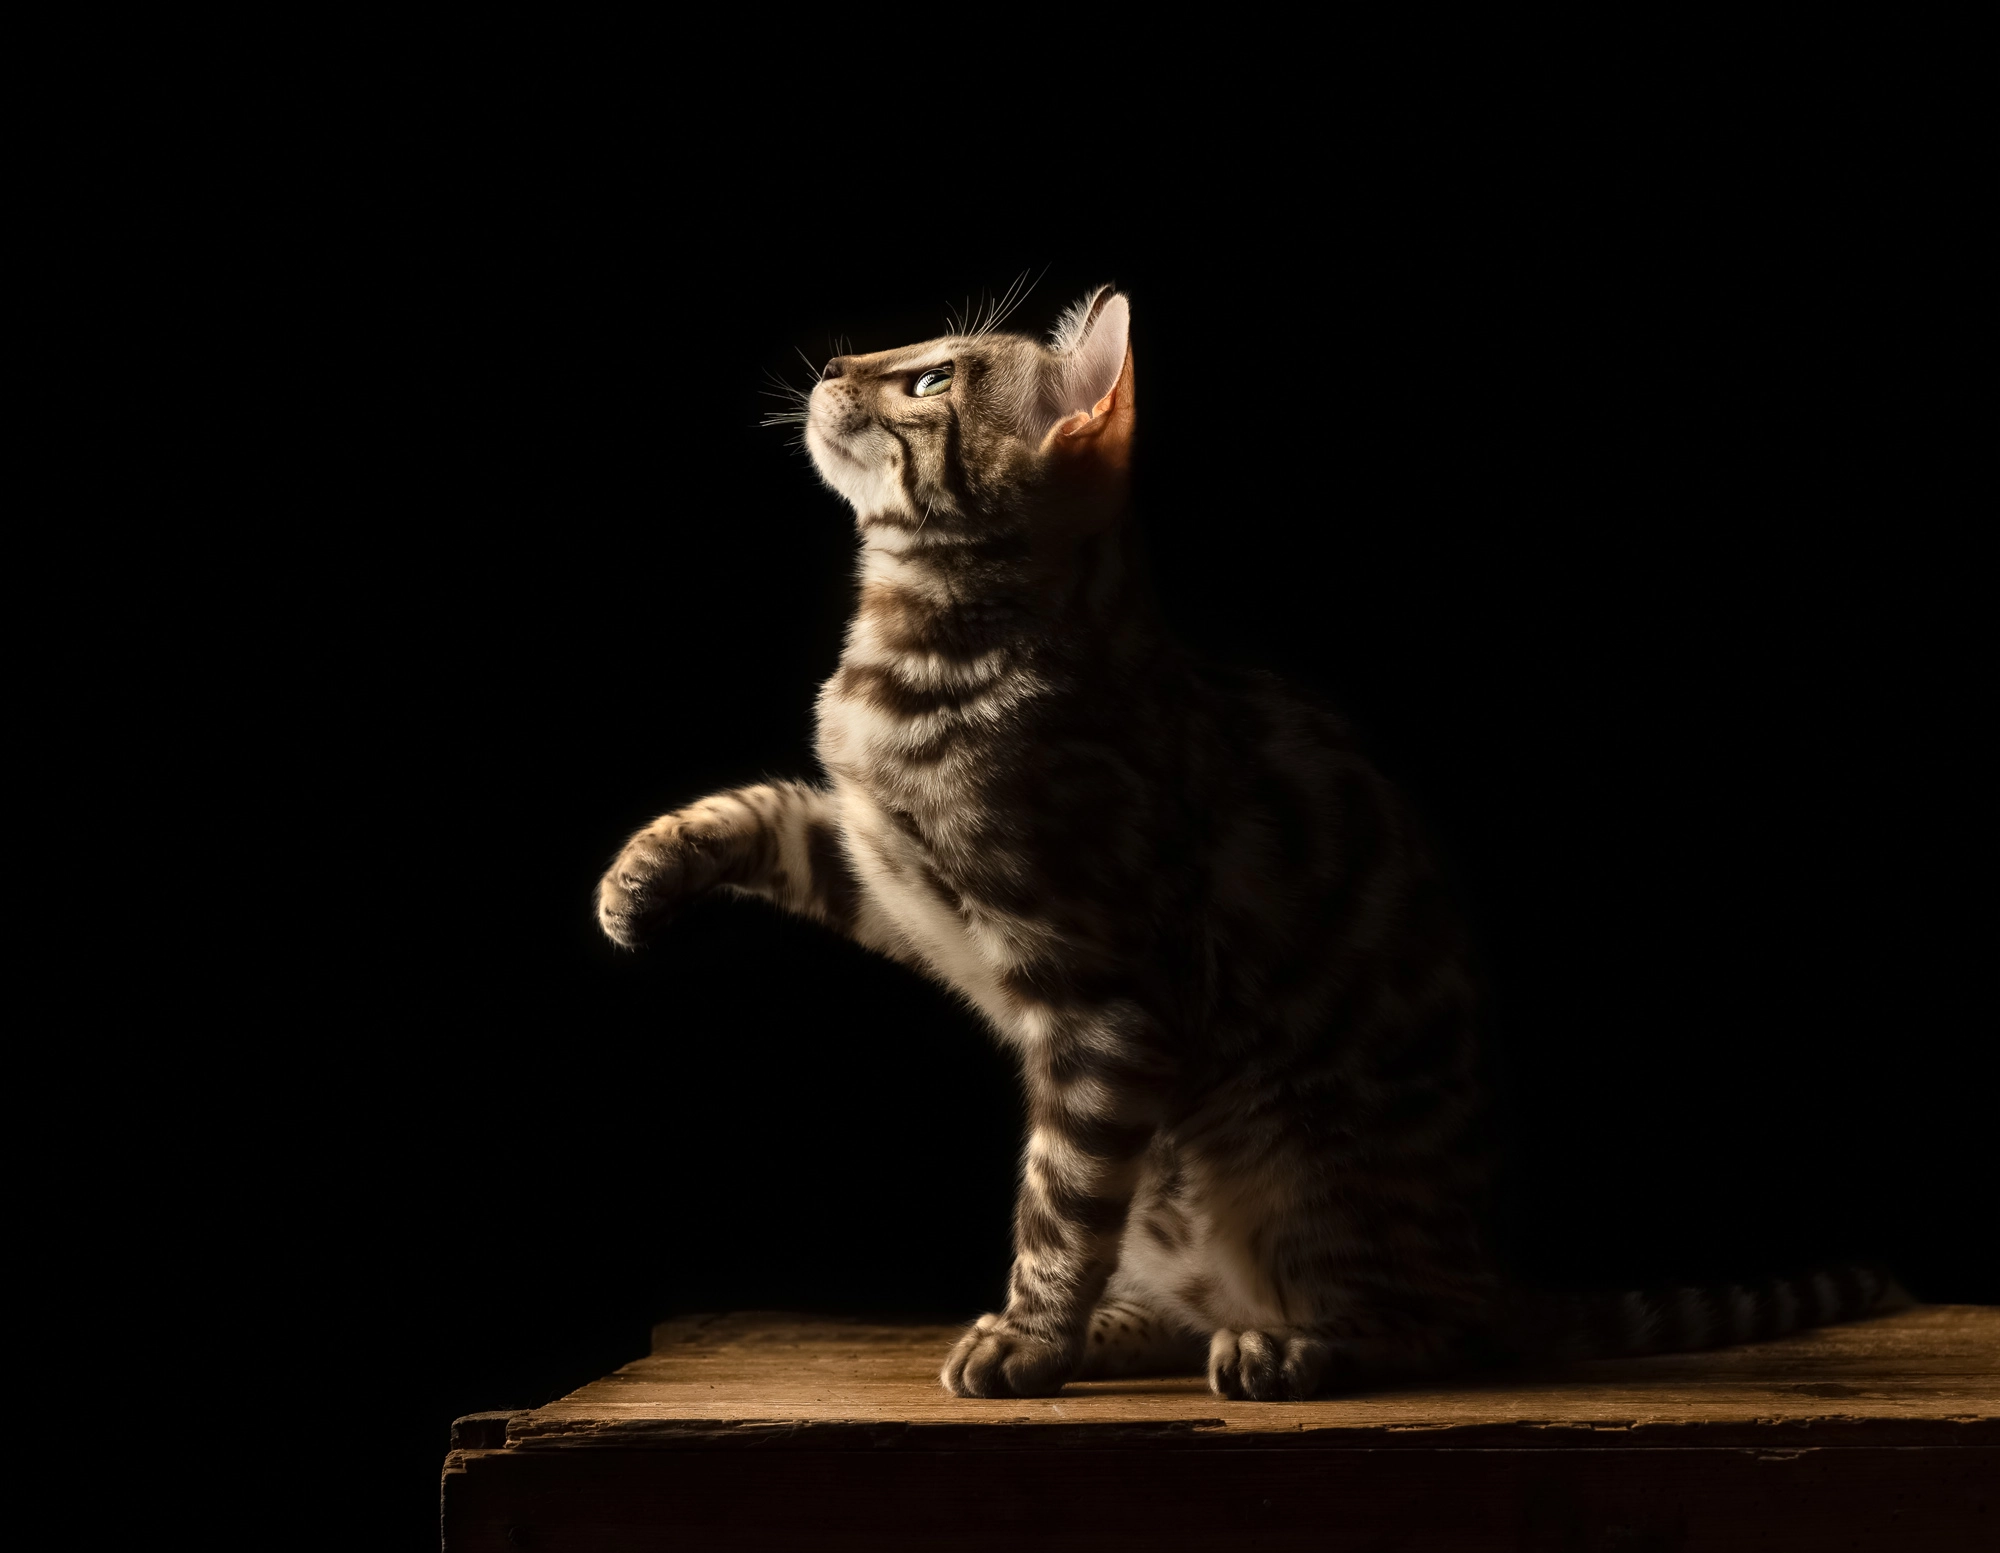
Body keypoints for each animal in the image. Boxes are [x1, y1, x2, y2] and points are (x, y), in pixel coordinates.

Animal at [596, 284, 1904, 1400]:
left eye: (929, 379)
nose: (830, 365)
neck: (919, 645)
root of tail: (1491, 1269)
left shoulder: (1106, 998)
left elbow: (1058, 1199)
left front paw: (1028, 1338)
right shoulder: (892, 873)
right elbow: (762, 812)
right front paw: (637, 876)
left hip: (1300, 1169)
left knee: (1426, 1330)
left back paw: (1290, 1345)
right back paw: (1135, 1326)